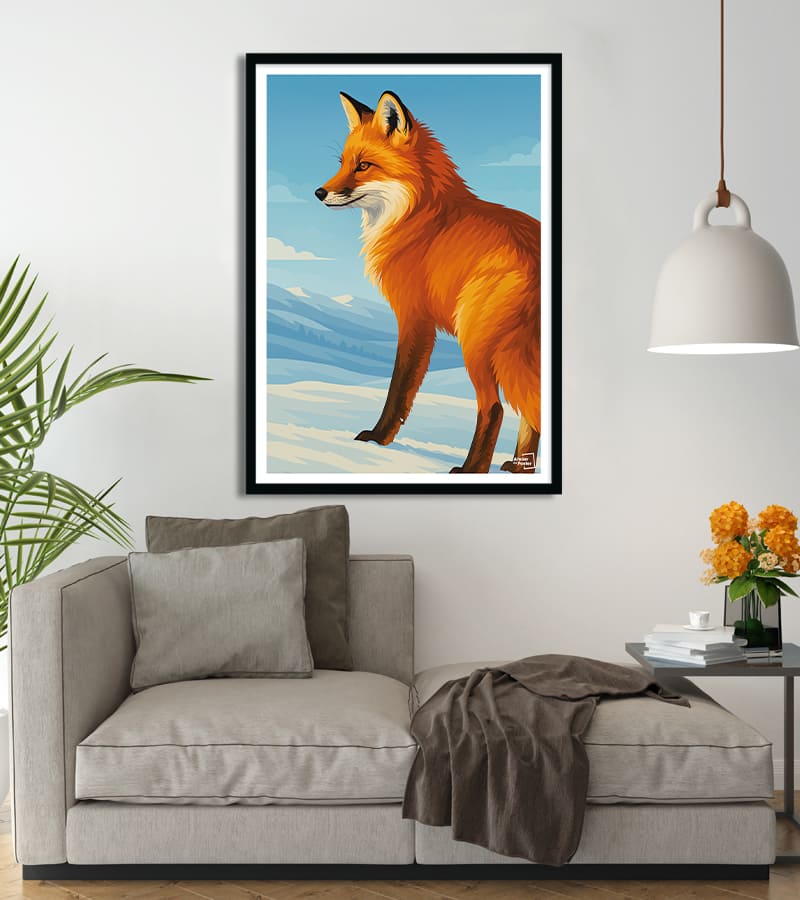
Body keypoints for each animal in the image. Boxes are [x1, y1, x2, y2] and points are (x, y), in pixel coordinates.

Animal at [314, 90, 541, 474]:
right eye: (342, 163)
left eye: (364, 166)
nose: (319, 192)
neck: (418, 214)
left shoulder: (414, 317)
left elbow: (399, 389)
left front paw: (378, 439)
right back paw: (517, 467)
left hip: (476, 345)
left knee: (494, 408)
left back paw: (471, 470)